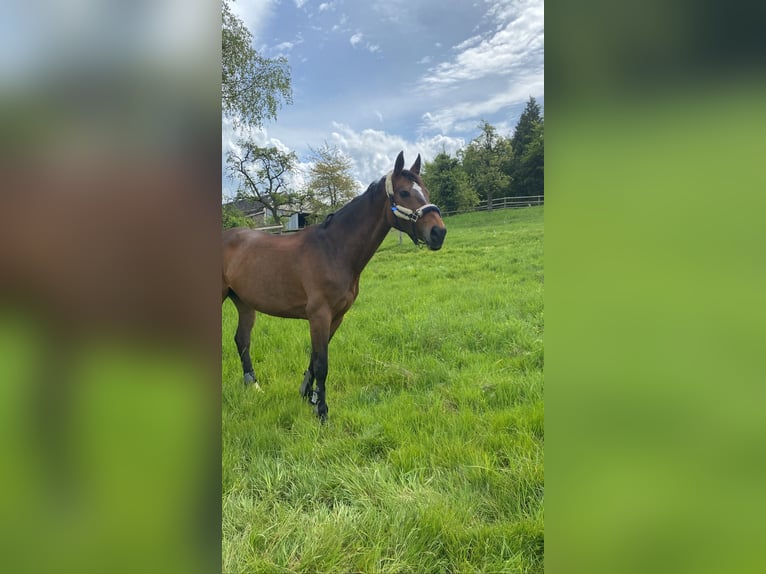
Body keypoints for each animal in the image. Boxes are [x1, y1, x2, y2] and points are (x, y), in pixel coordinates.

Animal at [222, 152, 448, 424]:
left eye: (425, 190)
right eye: (404, 192)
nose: (439, 232)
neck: (334, 249)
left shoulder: (336, 317)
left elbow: (315, 358)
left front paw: (309, 396)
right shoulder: (319, 315)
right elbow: (322, 364)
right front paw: (322, 413)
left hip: (244, 303)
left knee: (242, 340)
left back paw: (253, 385)